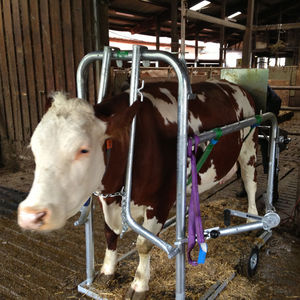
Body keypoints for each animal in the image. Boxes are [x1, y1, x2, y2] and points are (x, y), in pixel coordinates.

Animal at [18, 80, 258, 300]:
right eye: (33, 146)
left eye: (83, 149)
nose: (31, 215)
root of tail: (234, 85)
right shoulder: (108, 198)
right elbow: (109, 234)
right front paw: (107, 272)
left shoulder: (161, 202)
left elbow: (144, 244)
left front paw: (139, 285)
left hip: (249, 149)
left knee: (250, 183)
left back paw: (252, 218)